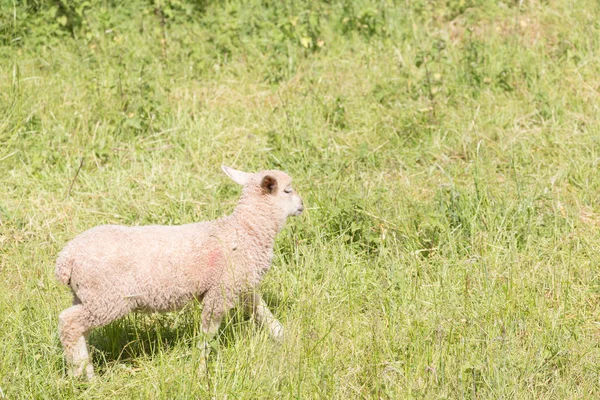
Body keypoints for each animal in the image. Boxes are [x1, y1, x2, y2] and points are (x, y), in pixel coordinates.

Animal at [56, 165, 304, 378]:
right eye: (287, 190)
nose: (302, 204)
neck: (246, 230)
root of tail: (67, 257)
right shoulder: (220, 292)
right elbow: (207, 333)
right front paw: (201, 369)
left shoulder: (240, 285)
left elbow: (263, 312)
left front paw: (286, 338)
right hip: (107, 298)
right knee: (69, 323)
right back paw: (84, 376)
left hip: (86, 296)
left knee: (80, 330)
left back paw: (83, 370)